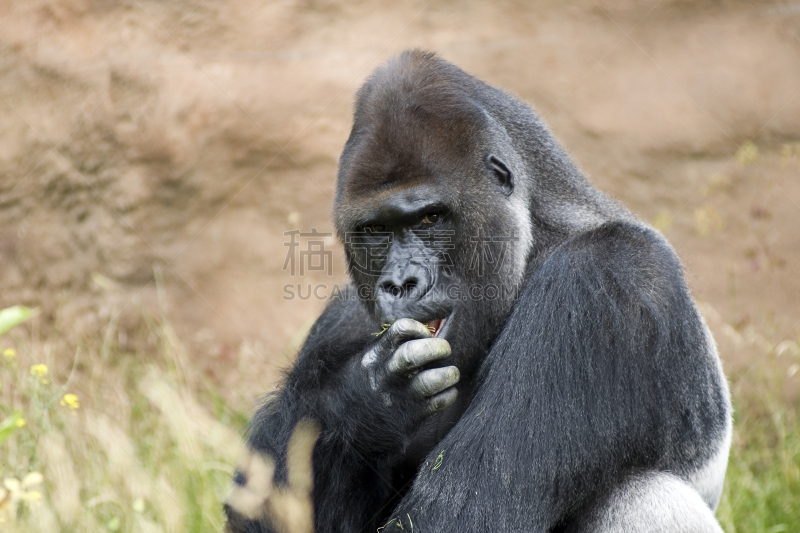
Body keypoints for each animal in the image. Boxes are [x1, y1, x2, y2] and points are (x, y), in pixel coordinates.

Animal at [223, 47, 732, 528]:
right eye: (376, 230)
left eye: (430, 218)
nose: (400, 283)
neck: (535, 238)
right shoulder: (339, 320)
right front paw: (362, 399)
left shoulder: (604, 280)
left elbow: (469, 511)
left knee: (640, 496)